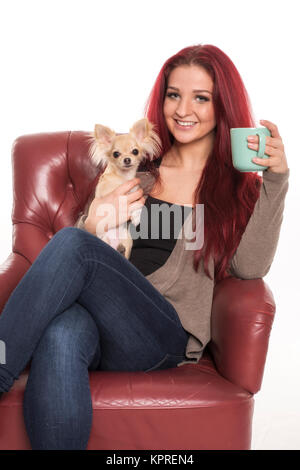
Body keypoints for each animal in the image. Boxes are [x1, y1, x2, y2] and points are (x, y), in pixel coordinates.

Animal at [89, 117, 162, 258]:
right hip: (103, 239)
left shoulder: (136, 191)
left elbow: (137, 203)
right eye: (116, 154)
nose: (127, 159)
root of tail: (114, 243)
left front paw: (137, 215)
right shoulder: (105, 190)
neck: (124, 177)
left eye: (135, 151)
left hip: (128, 242)